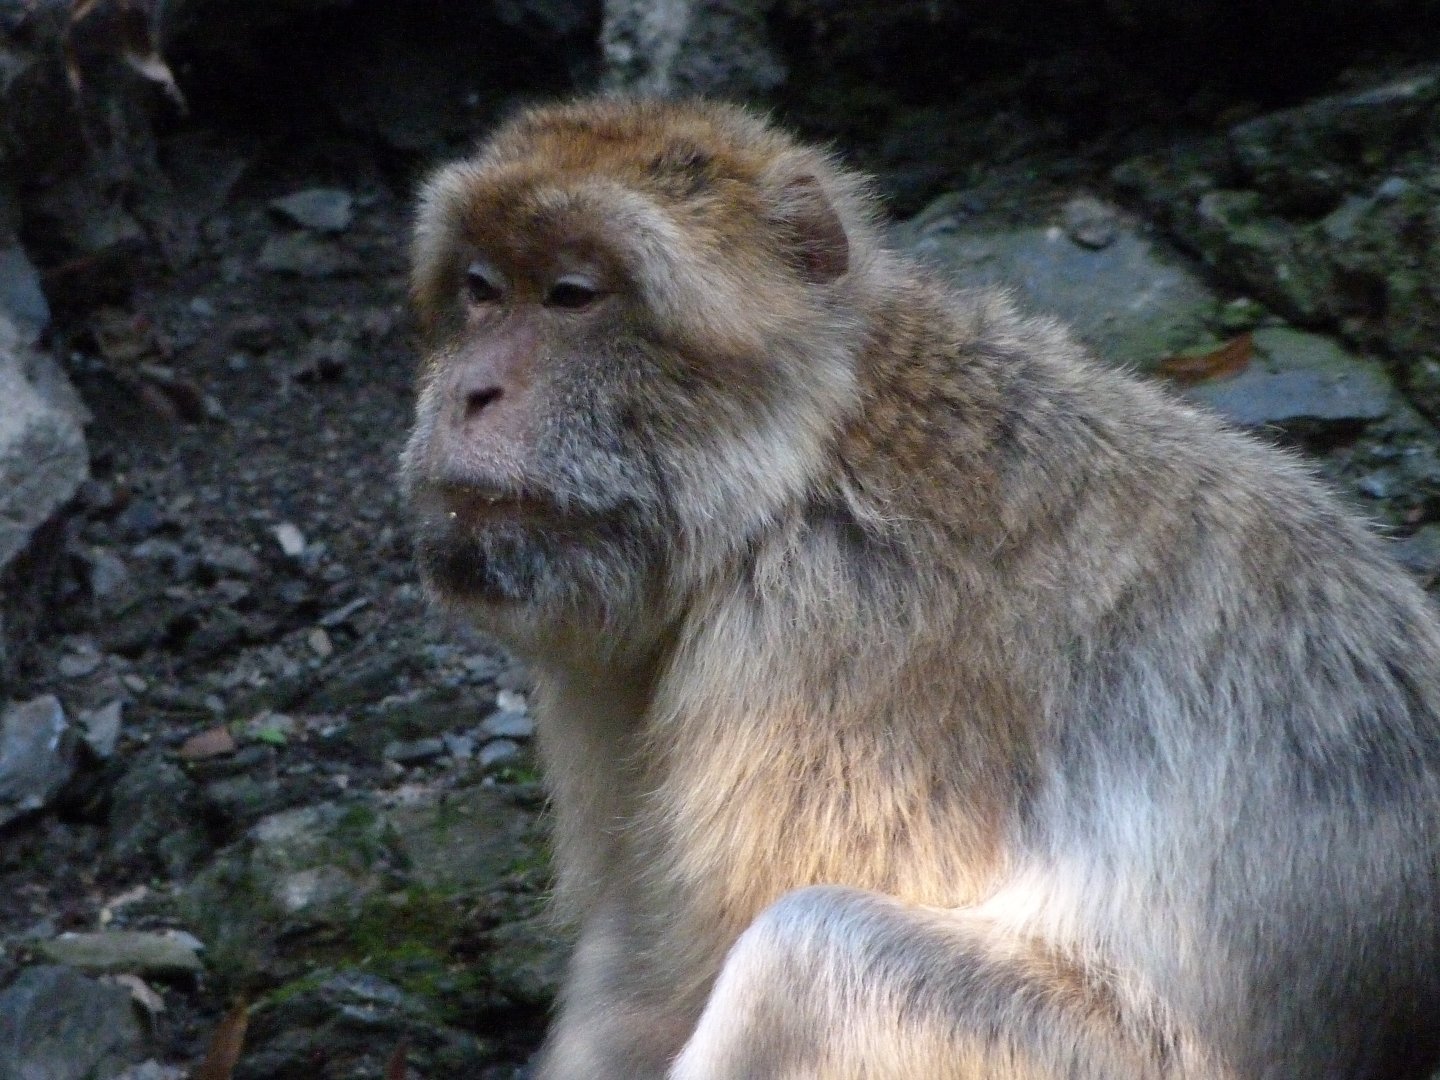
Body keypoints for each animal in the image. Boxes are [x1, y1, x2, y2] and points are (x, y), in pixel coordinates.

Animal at [400, 97, 1440, 1079]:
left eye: (572, 296)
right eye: (482, 291)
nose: (469, 390)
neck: (802, 464)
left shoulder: (835, 656)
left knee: (811, 956)